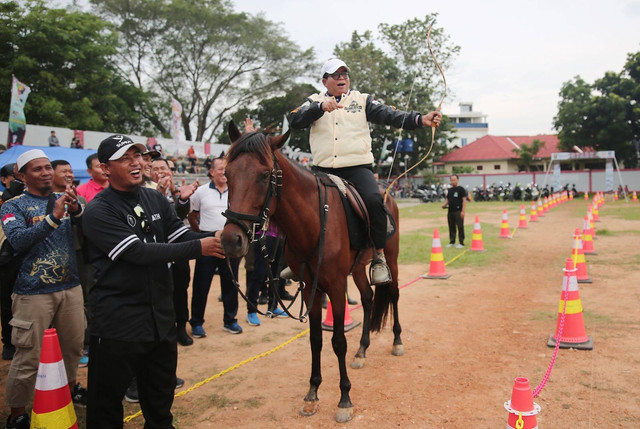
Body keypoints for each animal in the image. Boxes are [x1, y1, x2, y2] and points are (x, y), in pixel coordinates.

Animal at [220, 123, 400, 422]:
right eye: (227, 174)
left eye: (265, 175)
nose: (231, 240)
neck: (315, 223)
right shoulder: (309, 288)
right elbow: (316, 340)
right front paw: (312, 393)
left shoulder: (336, 287)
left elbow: (338, 341)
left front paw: (344, 399)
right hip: (358, 268)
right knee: (367, 299)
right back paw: (362, 351)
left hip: (392, 260)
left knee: (394, 295)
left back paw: (397, 340)